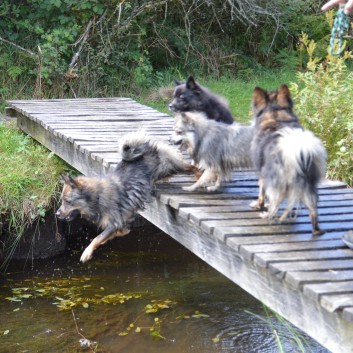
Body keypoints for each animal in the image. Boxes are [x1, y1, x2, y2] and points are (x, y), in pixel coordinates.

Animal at [55, 132, 198, 262]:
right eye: (62, 201)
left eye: (67, 201)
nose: (56, 213)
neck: (97, 197)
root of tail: (145, 148)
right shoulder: (117, 223)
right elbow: (115, 233)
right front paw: (121, 233)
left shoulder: (114, 222)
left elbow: (97, 238)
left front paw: (87, 252)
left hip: (171, 164)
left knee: (191, 167)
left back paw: (198, 176)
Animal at [249, 84, 326, 235]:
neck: (276, 116)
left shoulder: (262, 176)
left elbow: (261, 194)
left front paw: (258, 205)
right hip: (309, 187)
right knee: (313, 212)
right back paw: (316, 230)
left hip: (273, 182)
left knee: (274, 204)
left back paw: (267, 215)